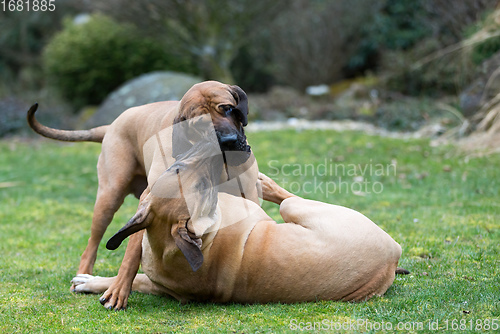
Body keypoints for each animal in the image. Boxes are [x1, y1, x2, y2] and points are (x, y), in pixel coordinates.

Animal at [26, 80, 252, 284]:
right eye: (200, 124)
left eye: (229, 109)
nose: (228, 141)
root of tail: (111, 126)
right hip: (108, 199)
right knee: (91, 245)